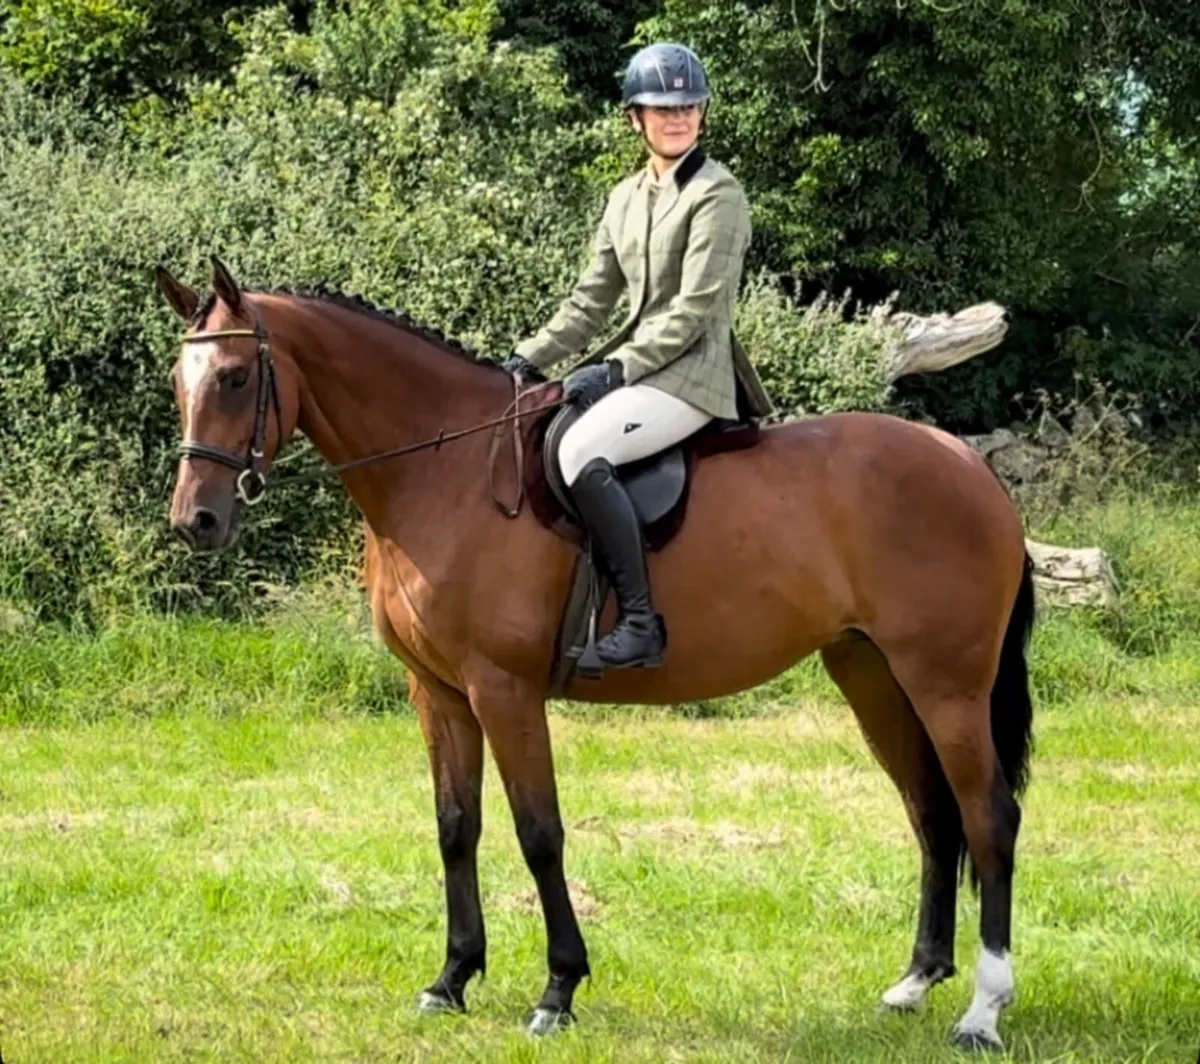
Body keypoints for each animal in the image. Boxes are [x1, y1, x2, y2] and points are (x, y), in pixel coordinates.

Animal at [156, 258, 1035, 1051]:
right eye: (179, 379)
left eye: (234, 377)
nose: (196, 522)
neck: (445, 472)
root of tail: (967, 464)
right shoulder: (437, 693)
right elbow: (455, 826)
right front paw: (452, 979)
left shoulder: (503, 690)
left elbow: (538, 832)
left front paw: (557, 991)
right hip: (872, 675)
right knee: (931, 814)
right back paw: (915, 983)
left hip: (947, 684)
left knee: (988, 815)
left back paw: (983, 1013)